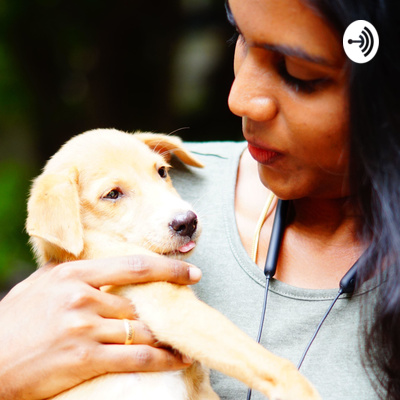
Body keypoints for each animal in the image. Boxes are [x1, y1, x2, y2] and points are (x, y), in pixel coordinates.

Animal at [25, 129, 322, 400]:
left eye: (161, 172)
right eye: (112, 194)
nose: (187, 222)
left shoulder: (199, 385)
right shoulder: (174, 310)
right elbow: (264, 360)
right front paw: (300, 391)